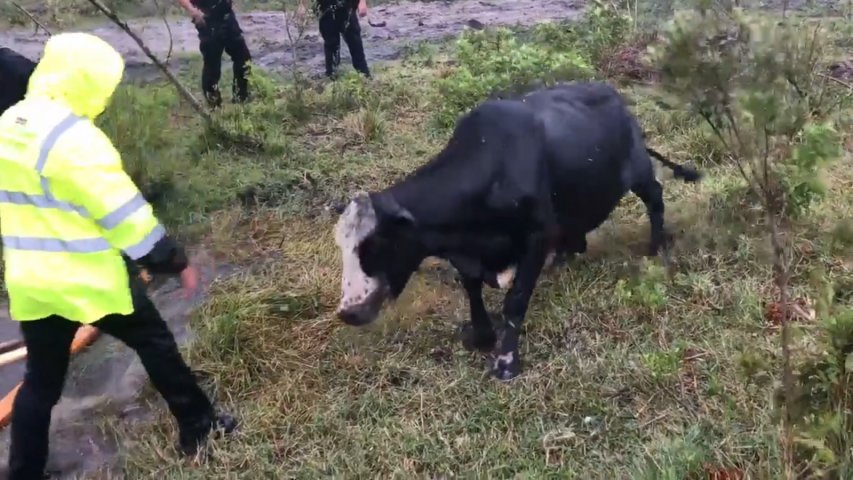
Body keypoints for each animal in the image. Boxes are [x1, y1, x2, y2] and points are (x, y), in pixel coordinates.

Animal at [332, 81, 702, 380]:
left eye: (376, 244)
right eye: (342, 246)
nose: (348, 312)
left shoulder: (535, 237)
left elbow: (516, 301)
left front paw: (507, 361)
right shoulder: (467, 254)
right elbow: (472, 288)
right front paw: (482, 335)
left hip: (638, 170)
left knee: (655, 197)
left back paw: (656, 246)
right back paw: (564, 259)